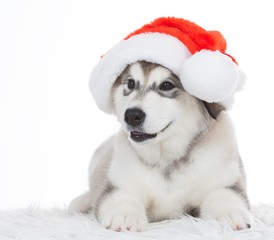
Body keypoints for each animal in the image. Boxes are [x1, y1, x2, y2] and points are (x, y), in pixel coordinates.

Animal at [68, 61, 250, 232]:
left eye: (166, 85)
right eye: (131, 83)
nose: (132, 115)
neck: (166, 158)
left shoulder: (225, 181)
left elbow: (223, 194)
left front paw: (230, 213)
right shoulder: (119, 185)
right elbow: (121, 198)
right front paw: (125, 216)